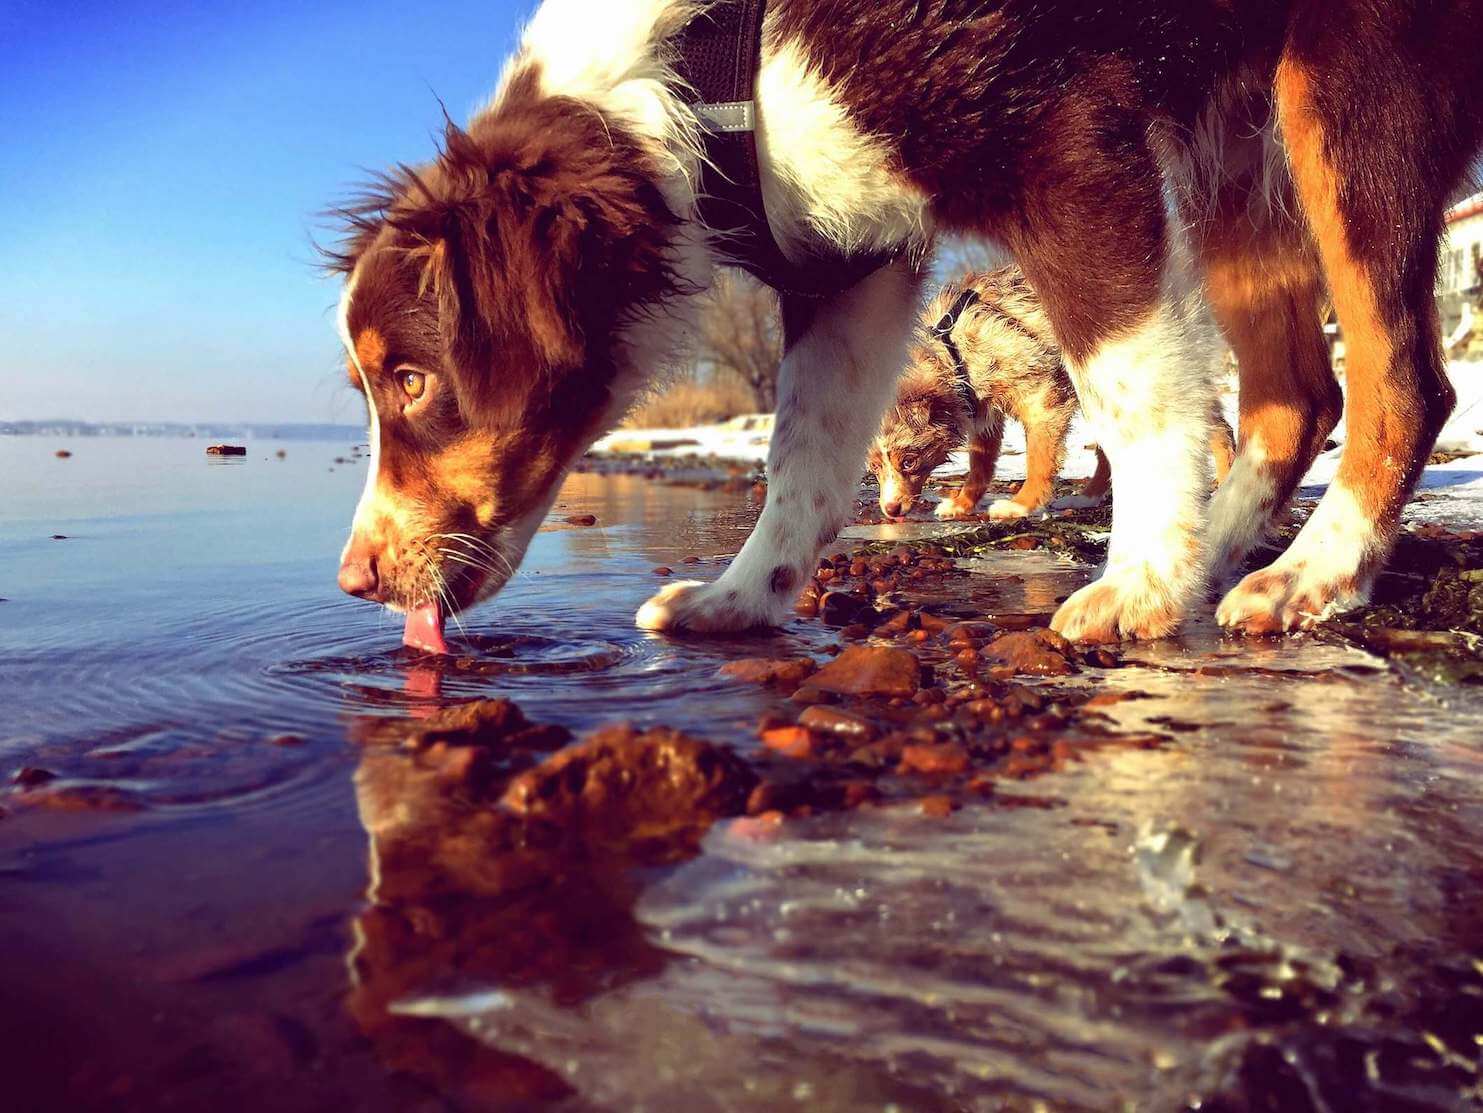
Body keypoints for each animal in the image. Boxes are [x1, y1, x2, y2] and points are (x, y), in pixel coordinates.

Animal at [866, 272, 1239, 527]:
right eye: (874, 468)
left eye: (909, 461)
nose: (891, 510)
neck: (952, 350)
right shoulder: (983, 411)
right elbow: (980, 466)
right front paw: (962, 504)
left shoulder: (1042, 400)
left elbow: (1039, 461)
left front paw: (1021, 505)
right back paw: (1088, 497)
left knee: (1218, 427)